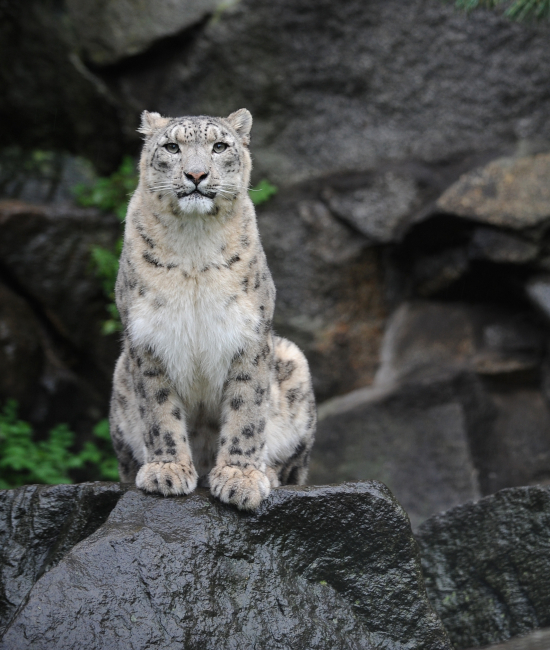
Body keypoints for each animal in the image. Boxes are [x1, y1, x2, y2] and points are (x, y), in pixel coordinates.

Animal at [109, 108, 316, 511]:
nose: (196, 175)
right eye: (172, 147)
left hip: (295, 362)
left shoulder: (249, 335)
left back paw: (266, 473)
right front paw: (167, 470)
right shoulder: (147, 337)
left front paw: (240, 478)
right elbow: (158, 408)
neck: (194, 244)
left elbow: (247, 408)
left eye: (219, 146)